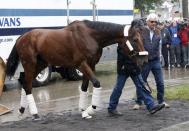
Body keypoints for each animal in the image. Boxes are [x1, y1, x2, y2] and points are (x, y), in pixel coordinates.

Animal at [5, 19, 148, 119]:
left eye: (142, 38)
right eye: (135, 39)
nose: (144, 59)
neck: (90, 35)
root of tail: (21, 37)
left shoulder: (91, 65)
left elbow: (84, 87)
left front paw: (84, 111)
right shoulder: (82, 64)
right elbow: (96, 83)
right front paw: (90, 109)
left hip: (40, 65)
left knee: (26, 84)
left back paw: (22, 111)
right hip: (30, 64)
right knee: (28, 85)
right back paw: (34, 114)